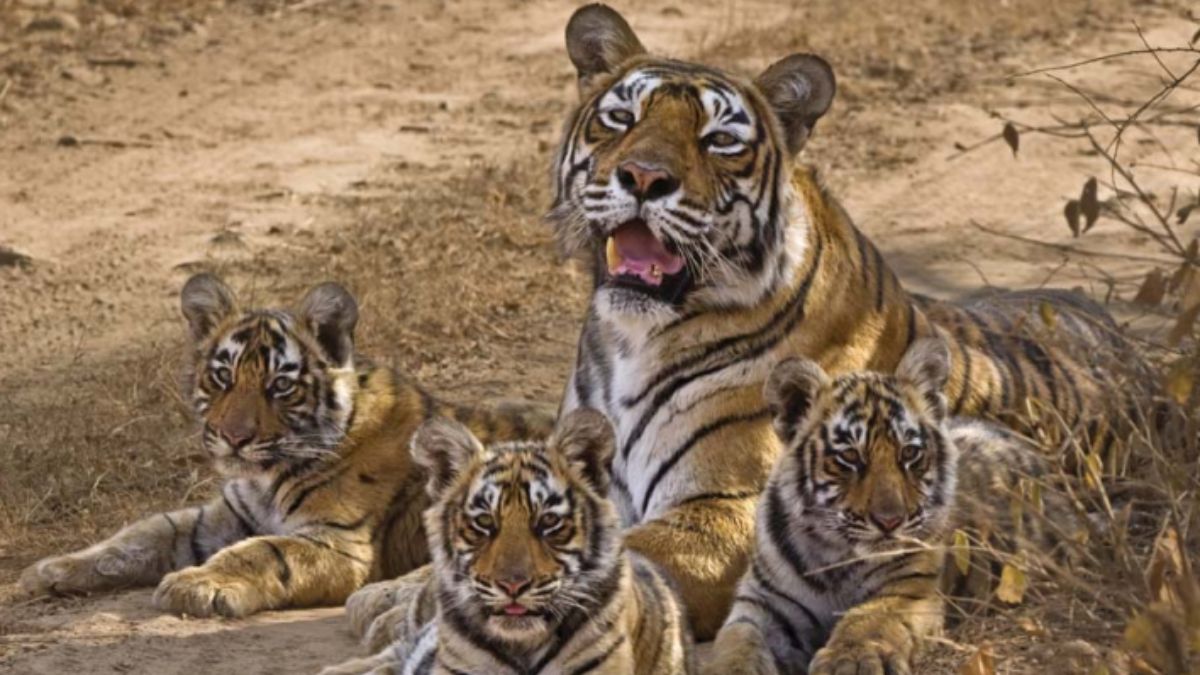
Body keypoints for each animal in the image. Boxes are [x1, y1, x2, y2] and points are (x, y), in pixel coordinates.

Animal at [19, 273, 555, 618]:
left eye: (279, 386)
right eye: (222, 377)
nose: (234, 438)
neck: (266, 476)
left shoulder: (339, 542)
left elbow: (263, 553)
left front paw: (196, 584)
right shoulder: (221, 518)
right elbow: (141, 534)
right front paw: (50, 570)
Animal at [705, 338, 1084, 675]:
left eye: (910, 453)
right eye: (849, 457)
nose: (890, 521)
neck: (836, 557)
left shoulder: (910, 589)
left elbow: (869, 619)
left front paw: (851, 662)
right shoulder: (763, 603)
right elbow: (737, 642)